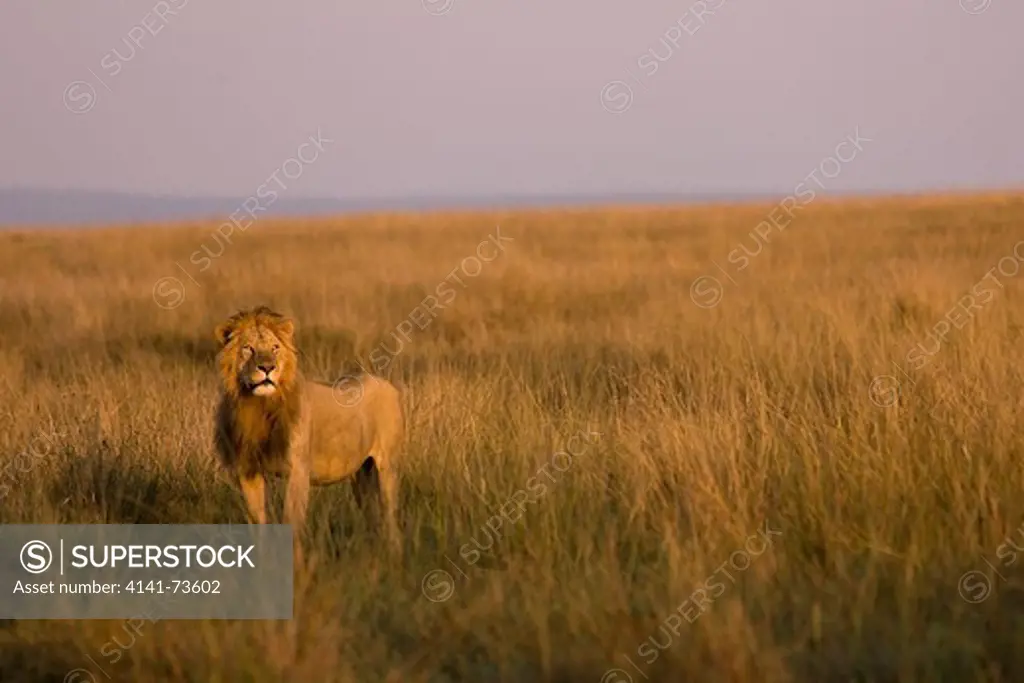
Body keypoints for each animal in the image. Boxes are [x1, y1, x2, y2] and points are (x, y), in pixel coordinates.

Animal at [211, 307, 403, 557]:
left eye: (275, 348)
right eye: (248, 348)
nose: (267, 368)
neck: (258, 407)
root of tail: (385, 383)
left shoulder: (298, 470)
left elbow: (291, 520)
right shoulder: (248, 470)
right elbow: (257, 522)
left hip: (387, 467)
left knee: (390, 515)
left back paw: (393, 554)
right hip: (362, 474)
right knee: (371, 512)